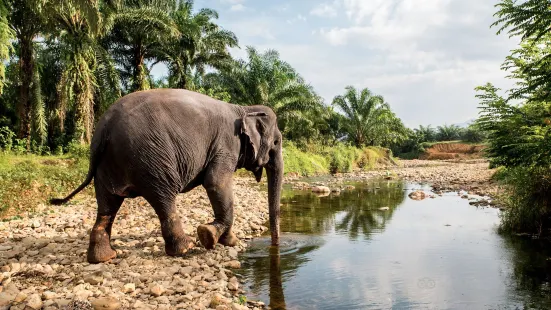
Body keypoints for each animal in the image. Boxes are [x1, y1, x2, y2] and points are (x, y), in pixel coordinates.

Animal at [49, 89, 282, 264]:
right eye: (277, 142)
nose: (276, 245)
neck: (244, 108)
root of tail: (104, 127)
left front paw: (225, 240)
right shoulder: (226, 144)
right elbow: (216, 183)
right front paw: (214, 237)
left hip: (107, 166)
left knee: (107, 206)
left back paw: (104, 258)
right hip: (151, 159)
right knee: (164, 198)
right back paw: (185, 248)